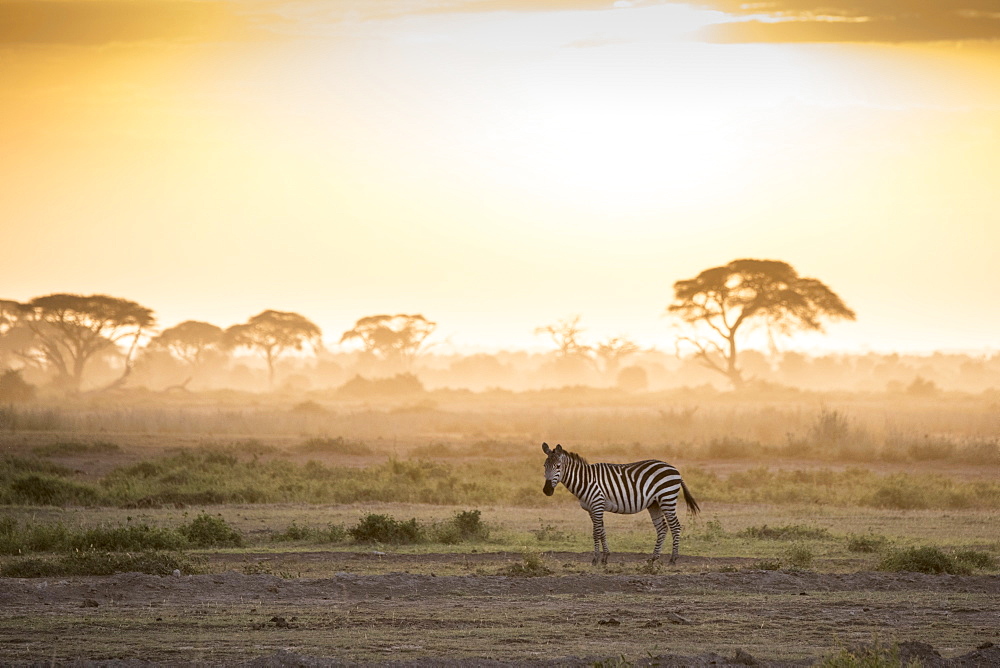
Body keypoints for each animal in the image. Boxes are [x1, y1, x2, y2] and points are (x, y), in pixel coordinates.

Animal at [544, 444, 700, 564]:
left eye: (558, 466)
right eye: (544, 466)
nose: (547, 490)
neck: (585, 480)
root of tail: (674, 469)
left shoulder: (597, 504)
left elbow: (596, 532)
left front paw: (595, 559)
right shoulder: (591, 509)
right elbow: (602, 531)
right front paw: (605, 557)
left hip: (667, 498)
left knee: (675, 526)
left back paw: (673, 559)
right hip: (654, 503)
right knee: (662, 528)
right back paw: (653, 558)